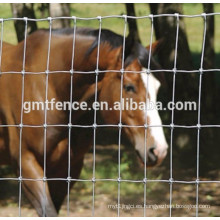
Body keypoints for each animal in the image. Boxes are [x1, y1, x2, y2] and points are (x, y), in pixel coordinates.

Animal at [0, 26, 168, 217]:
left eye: (157, 88)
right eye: (129, 87)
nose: (159, 150)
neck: (48, 86)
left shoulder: (67, 168)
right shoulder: (26, 164)